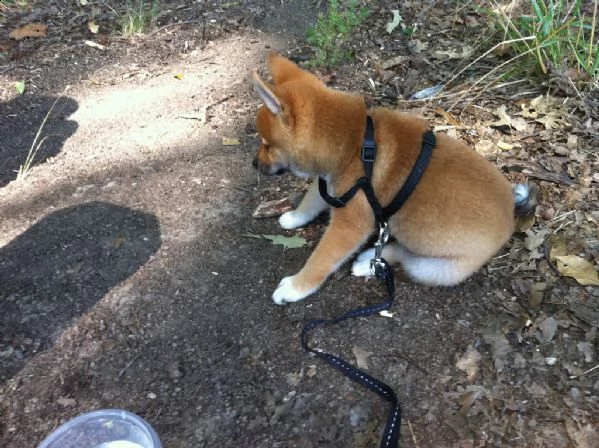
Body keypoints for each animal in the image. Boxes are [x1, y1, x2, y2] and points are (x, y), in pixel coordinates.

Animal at [252, 52, 536, 304]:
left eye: (266, 144)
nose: (254, 164)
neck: (354, 142)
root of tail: (510, 214)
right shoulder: (331, 185)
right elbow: (311, 200)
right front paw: (294, 217)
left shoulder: (349, 225)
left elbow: (320, 260)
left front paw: (295, 288)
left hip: (439, 268)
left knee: (404, 256)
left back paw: (367, 262)